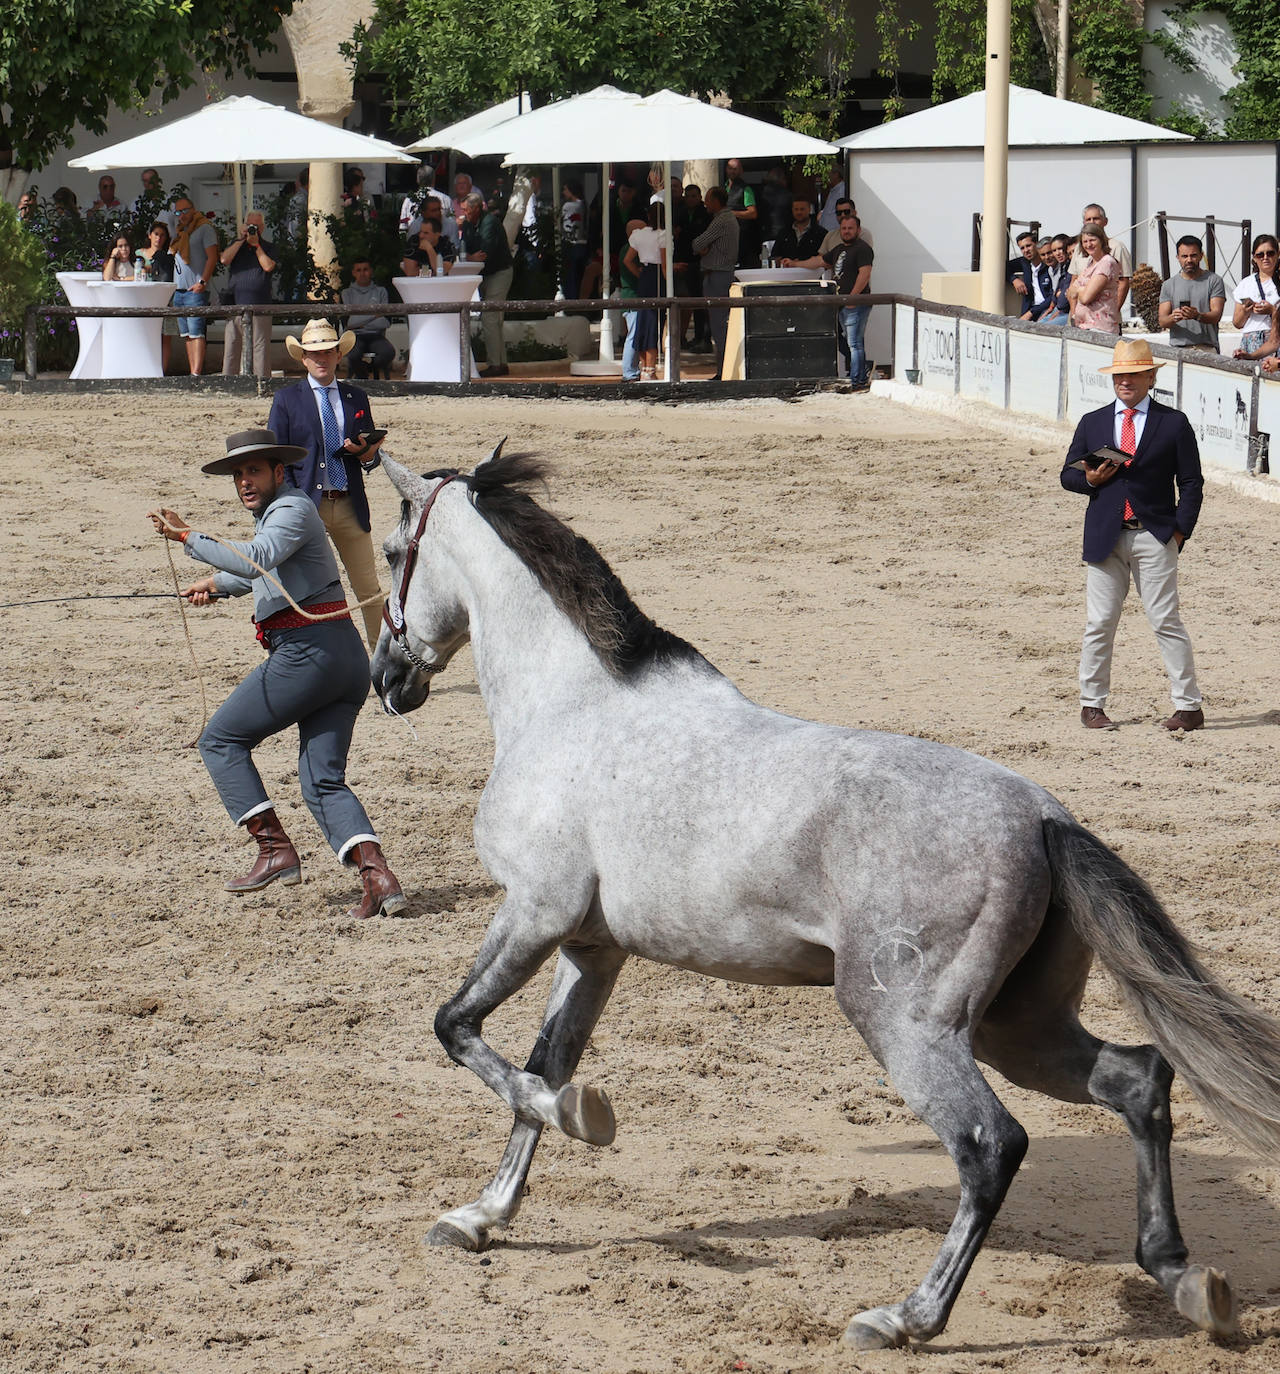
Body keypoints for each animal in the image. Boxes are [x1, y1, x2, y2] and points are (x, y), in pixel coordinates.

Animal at [370, 447, 1280, 1341]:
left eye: (388, 551)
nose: (386, 681)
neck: (572, 706)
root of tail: (1044, 819)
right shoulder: (590, 947)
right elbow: (540, 1061)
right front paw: (481, 1216)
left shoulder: (533, 911)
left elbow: (462, 1032)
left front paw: (581, 1117)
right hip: (1015, 1026)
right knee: (1137, 1081)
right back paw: (1184, 1280)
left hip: (908, 1023)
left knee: (991, 1144)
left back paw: (907, 1317)